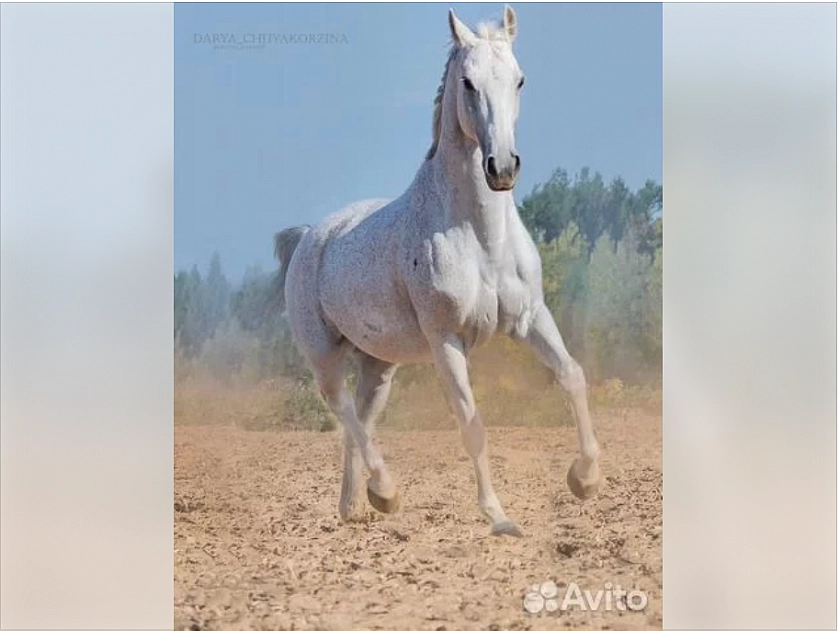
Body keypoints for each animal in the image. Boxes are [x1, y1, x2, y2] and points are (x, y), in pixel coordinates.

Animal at [272, 6, 602, 537]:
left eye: (520, 79)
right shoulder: (446, 339)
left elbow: (571, 375)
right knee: (342, 409)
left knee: (360, 421)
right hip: (324, 357)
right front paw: (499, 517)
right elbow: (470, 420)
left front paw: (585, 480)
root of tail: (307, 238)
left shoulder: (531, 317)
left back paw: (357, 504)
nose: (502, 168)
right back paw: (385, 491)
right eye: (467, 82)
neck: (481, 239)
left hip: (378, 365)